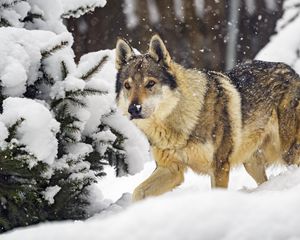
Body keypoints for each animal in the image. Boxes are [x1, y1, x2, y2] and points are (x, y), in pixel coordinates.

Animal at [114, 34, 300, 202]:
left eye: (150, 83)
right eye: (127, 86)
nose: (134, 109)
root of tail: (293, 72)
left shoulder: (219, 167)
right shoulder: (171, 169)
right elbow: (138, 192)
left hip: (288, 153)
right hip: (252, 162)